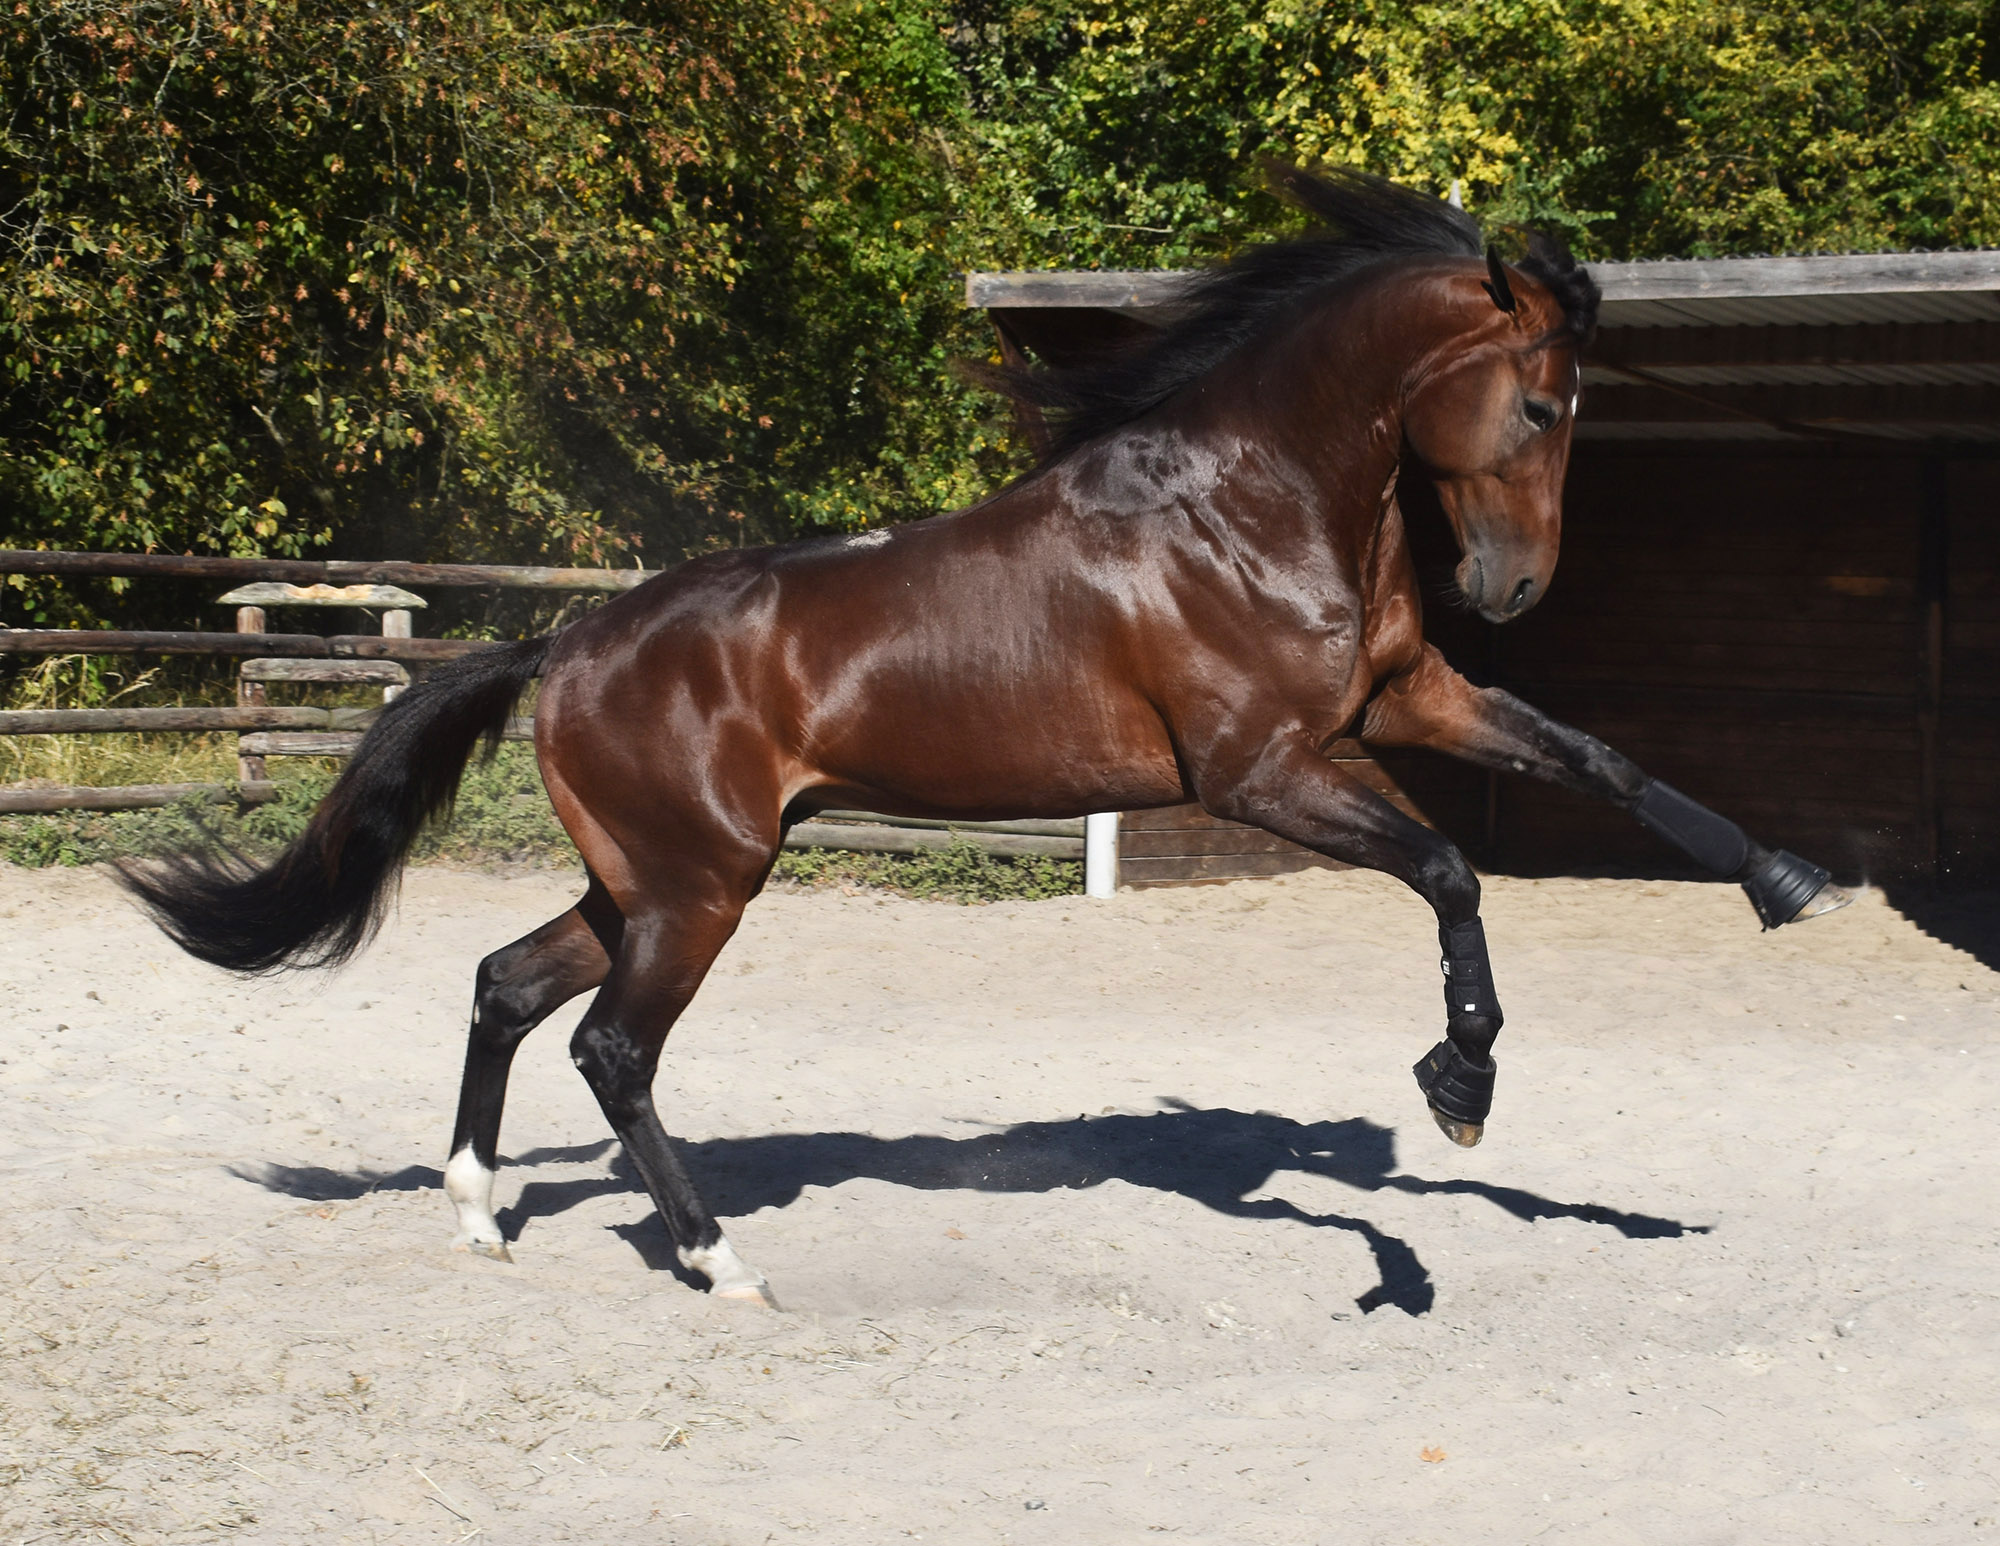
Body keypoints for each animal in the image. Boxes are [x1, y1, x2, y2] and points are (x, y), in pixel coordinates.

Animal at [121, 169, 1840, 1304]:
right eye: (1543, 407)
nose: (1512, 585)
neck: (1256, 502)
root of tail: (567, 642)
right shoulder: (1266, 771)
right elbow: (1448, 872)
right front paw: (1457, 1089)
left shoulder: (1406, 697)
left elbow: (1606, 765)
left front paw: (1787, 881)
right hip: (699, 891)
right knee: (611, 1045)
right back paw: (722, 1259)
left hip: (650, 880)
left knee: (505, 985)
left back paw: (480, 1213)